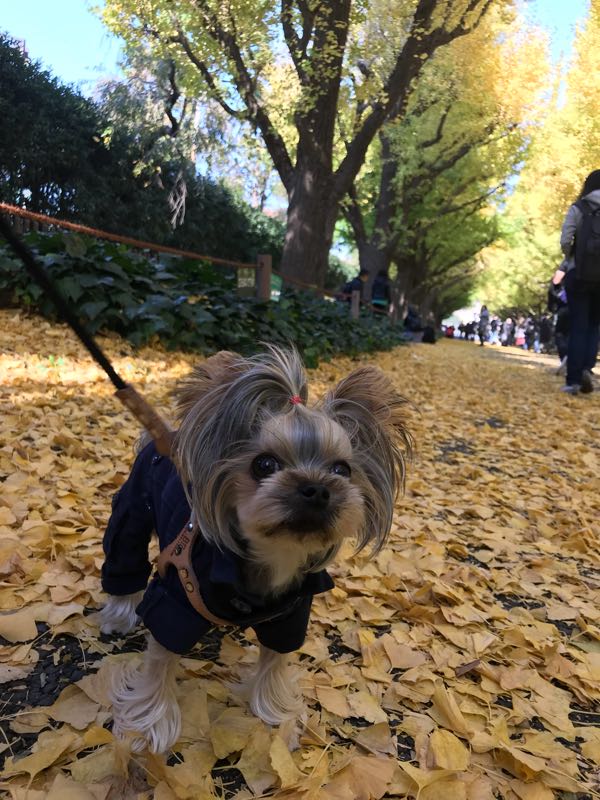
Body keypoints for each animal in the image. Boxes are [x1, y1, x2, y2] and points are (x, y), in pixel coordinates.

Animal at [98, 346, 410, 752]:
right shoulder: (177, 599)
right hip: (132, 510)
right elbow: (160, 658)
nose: (317, 488)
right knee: (124, 556)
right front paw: (150, 726)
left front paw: (275, 714)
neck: (274, 554)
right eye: (264, 464)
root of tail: (161, 438)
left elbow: (275, 659)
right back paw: (120, 614)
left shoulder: (291, 613)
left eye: (342, 470)